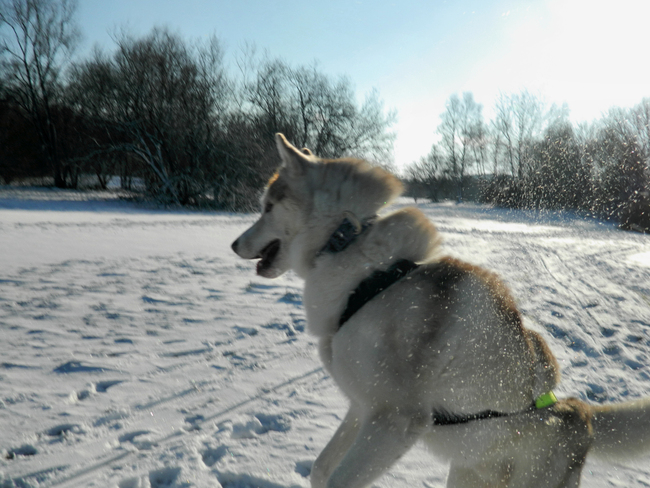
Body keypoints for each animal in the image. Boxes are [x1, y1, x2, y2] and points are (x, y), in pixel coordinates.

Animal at [230, 132, 648, 486]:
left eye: (267, 207)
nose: (233, 244)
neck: (351, 252)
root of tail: (581, 416)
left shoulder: (395, 422)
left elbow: (338, 478)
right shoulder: (361, 409)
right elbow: (321, 468)